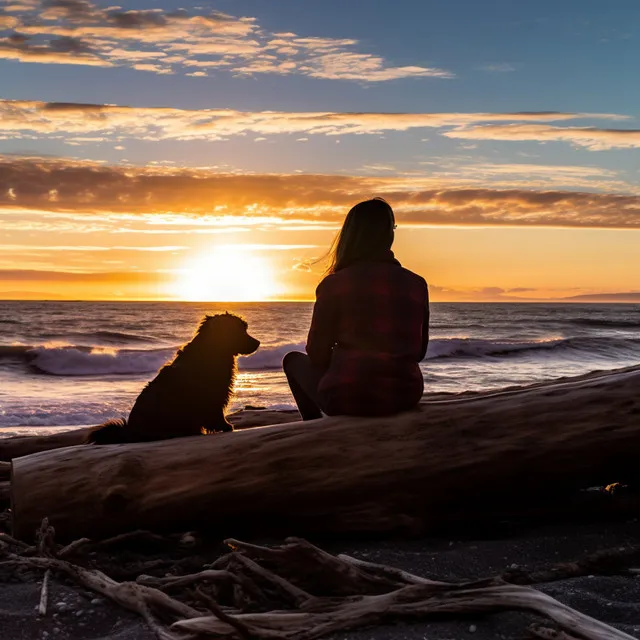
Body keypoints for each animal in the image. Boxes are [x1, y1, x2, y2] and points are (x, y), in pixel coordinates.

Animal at [87, 312, 260, 442]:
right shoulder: (214, 393)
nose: (258, 342)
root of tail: (129, 431)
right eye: (239, 330)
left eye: (245, 329)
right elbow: (216, 412)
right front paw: (225, 426)